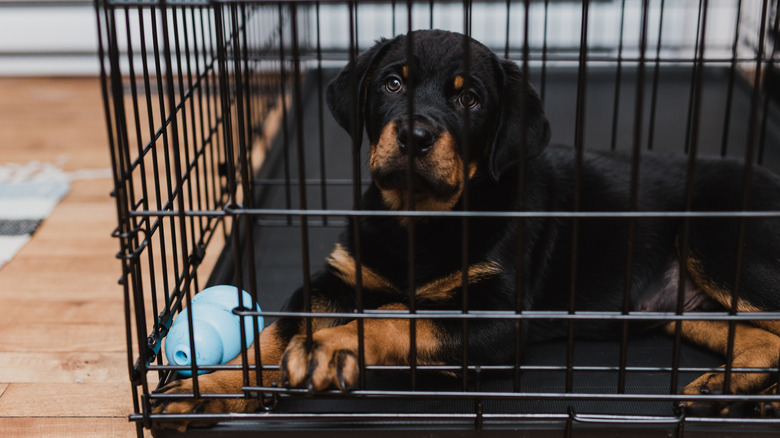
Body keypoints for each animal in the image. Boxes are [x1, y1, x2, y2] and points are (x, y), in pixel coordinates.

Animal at [152, 30, 780, 428]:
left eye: (471, 99)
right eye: (392, 84)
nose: (415, 135)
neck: (419, 217)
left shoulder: (496, 315)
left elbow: (396, 313)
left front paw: (332, 345)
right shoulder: (337, 277)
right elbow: (275, 334)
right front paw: (210, 392)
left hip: (716, 241)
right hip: (686, 308)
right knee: (763, 342)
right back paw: (729, 394)